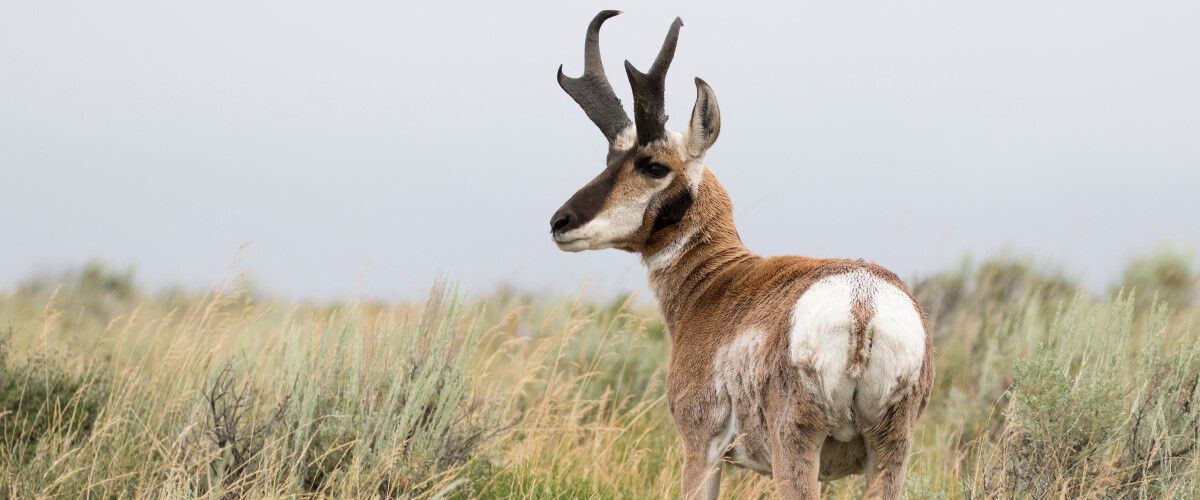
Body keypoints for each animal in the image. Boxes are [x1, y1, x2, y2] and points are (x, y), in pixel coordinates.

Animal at [549, 9, 931, 496]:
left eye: (653, 165)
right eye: (609, 160)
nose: (560, 222)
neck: (719, 281)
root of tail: (861, 302)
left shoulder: (701, 449)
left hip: (796, 445)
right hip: (890, 451)